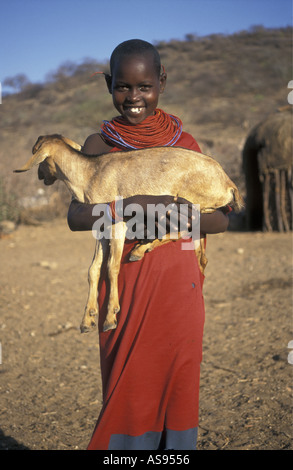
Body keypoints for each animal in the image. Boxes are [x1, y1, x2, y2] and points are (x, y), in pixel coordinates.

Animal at [14, 135, 242, 334]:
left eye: (36, 152)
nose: (40, 175)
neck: (89, 173)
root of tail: (229, 184)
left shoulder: (118, 225)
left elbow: (112, 267)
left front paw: (110, 317)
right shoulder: (101, 228)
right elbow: (93, 269)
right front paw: (87, 320)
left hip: (189, 202)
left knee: (185, 229)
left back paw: (140, 249)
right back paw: (144, 247)